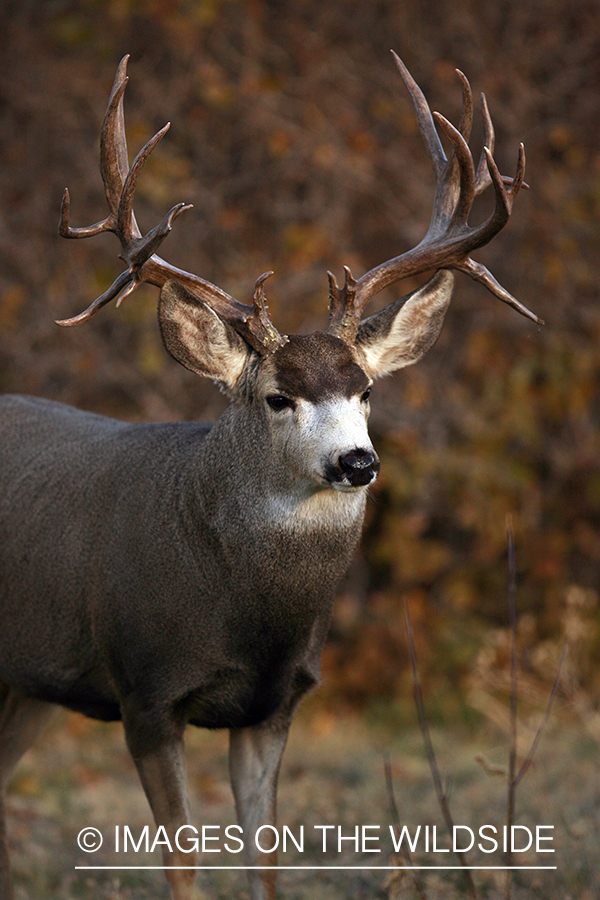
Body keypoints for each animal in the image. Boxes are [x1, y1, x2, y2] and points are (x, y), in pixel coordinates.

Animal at [0, 53, 539, 900]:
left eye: (367, 389)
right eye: (277, 397)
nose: (358, 461)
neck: (249, 612)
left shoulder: (275, 705)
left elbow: (267, 858)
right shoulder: (145, 688)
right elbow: (183, 862)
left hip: (27, 686)